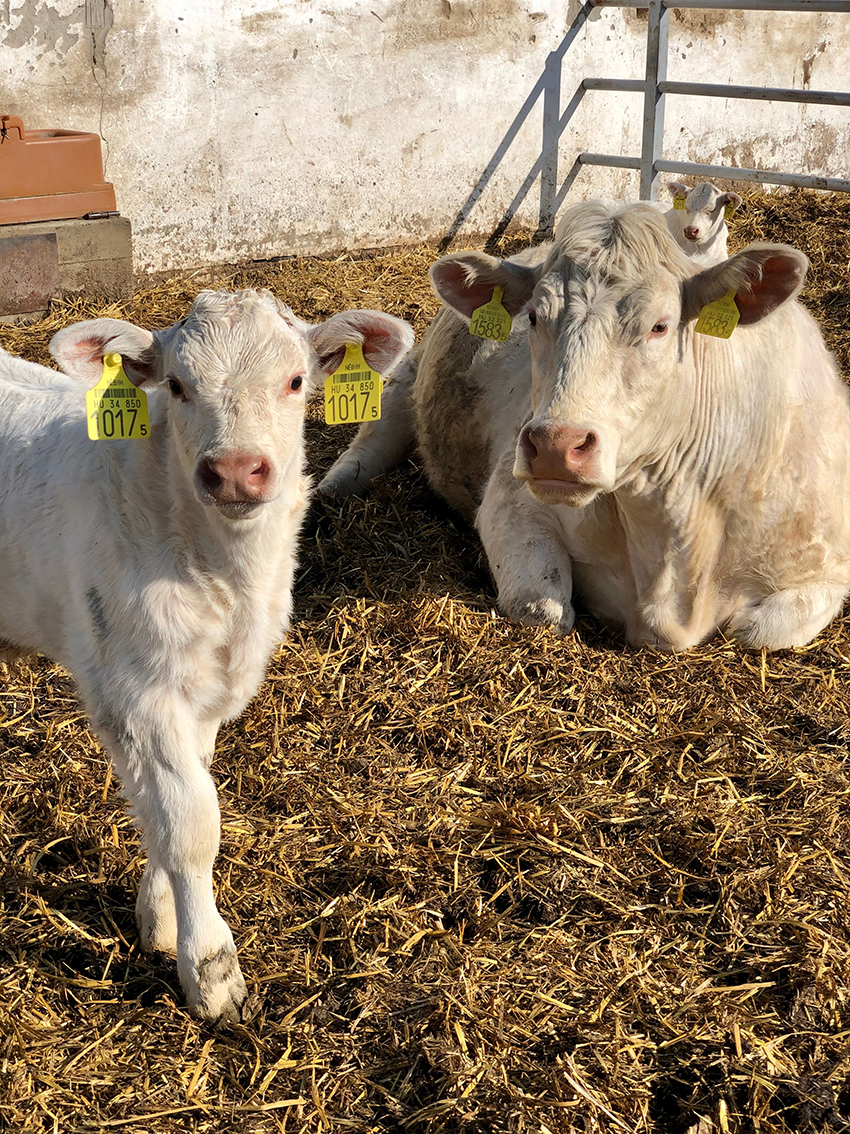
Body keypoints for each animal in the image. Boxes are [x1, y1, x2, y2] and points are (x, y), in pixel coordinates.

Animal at [0, 290, 412, 1020]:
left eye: (296, 380)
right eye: (176, 385)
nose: (235, 471)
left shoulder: (206, 692)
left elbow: (171, 802)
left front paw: (159, 917)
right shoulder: (134, 686)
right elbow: (191, 821)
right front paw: (211, 970)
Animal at [321, 199, 850, 653]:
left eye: (660, 326)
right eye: (534, 317)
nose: (556, 445)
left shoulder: (828, 567)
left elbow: (755, 631)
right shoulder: (510, 503)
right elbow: (544, 611)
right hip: (405, 376)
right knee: (373, 437)